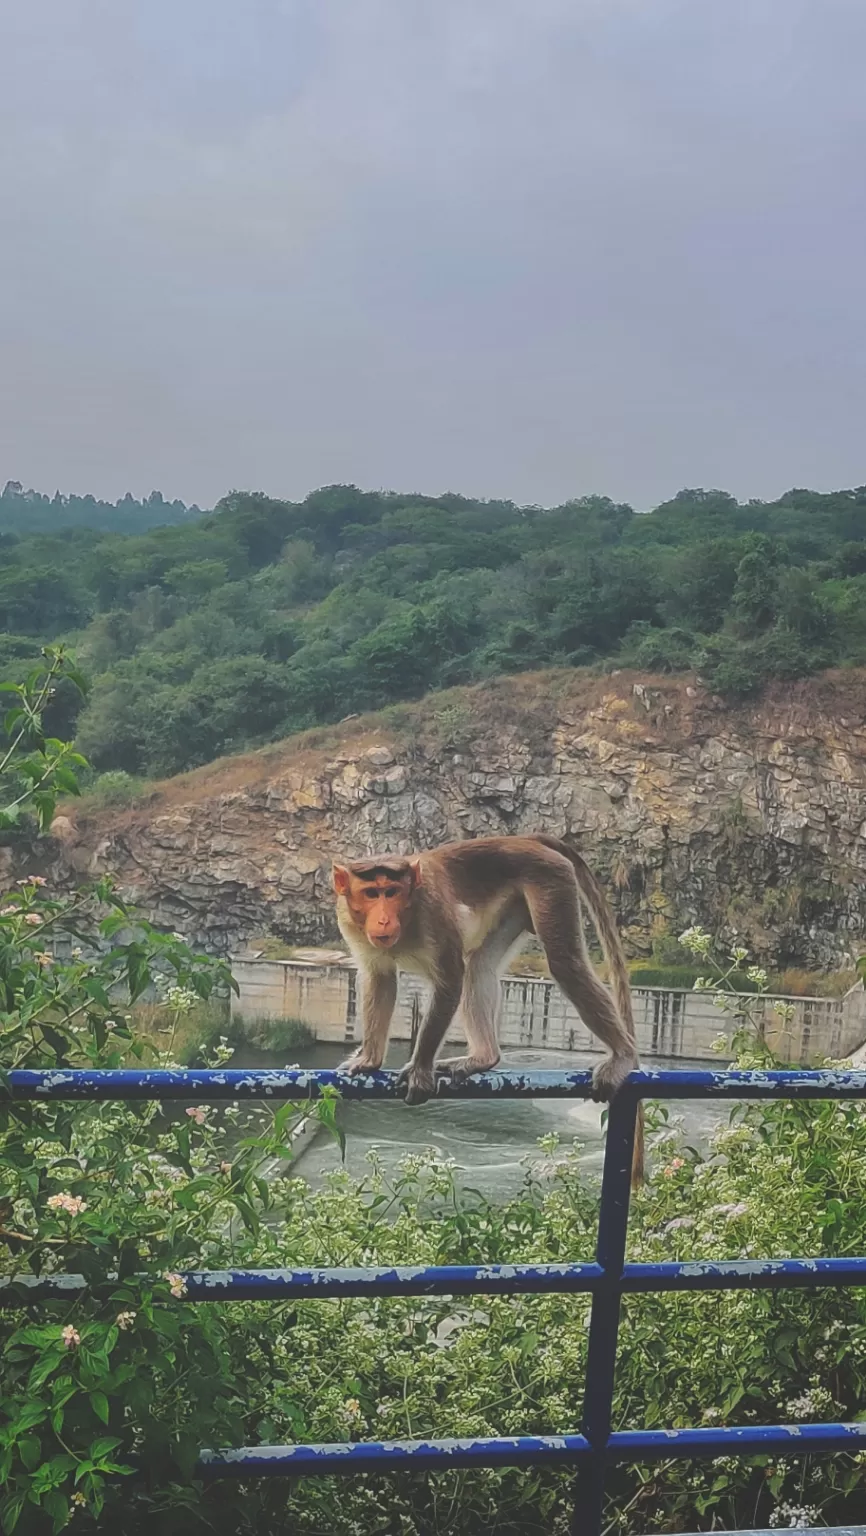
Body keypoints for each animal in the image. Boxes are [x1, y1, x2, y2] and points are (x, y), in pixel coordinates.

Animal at [331, 841, 641, 1185]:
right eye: (372, 893)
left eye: (392, 892)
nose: (384, 920)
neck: (408, 914)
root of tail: (526, 840)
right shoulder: (350, 922)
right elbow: (380, 978)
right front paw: (370, 1059)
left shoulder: (432, 910)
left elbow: (450, 979)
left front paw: (420, 1069)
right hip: (516, 902)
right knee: (479, 964)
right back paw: (484, 1058)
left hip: (550, 879)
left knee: (565, 965)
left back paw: (623, 1054)